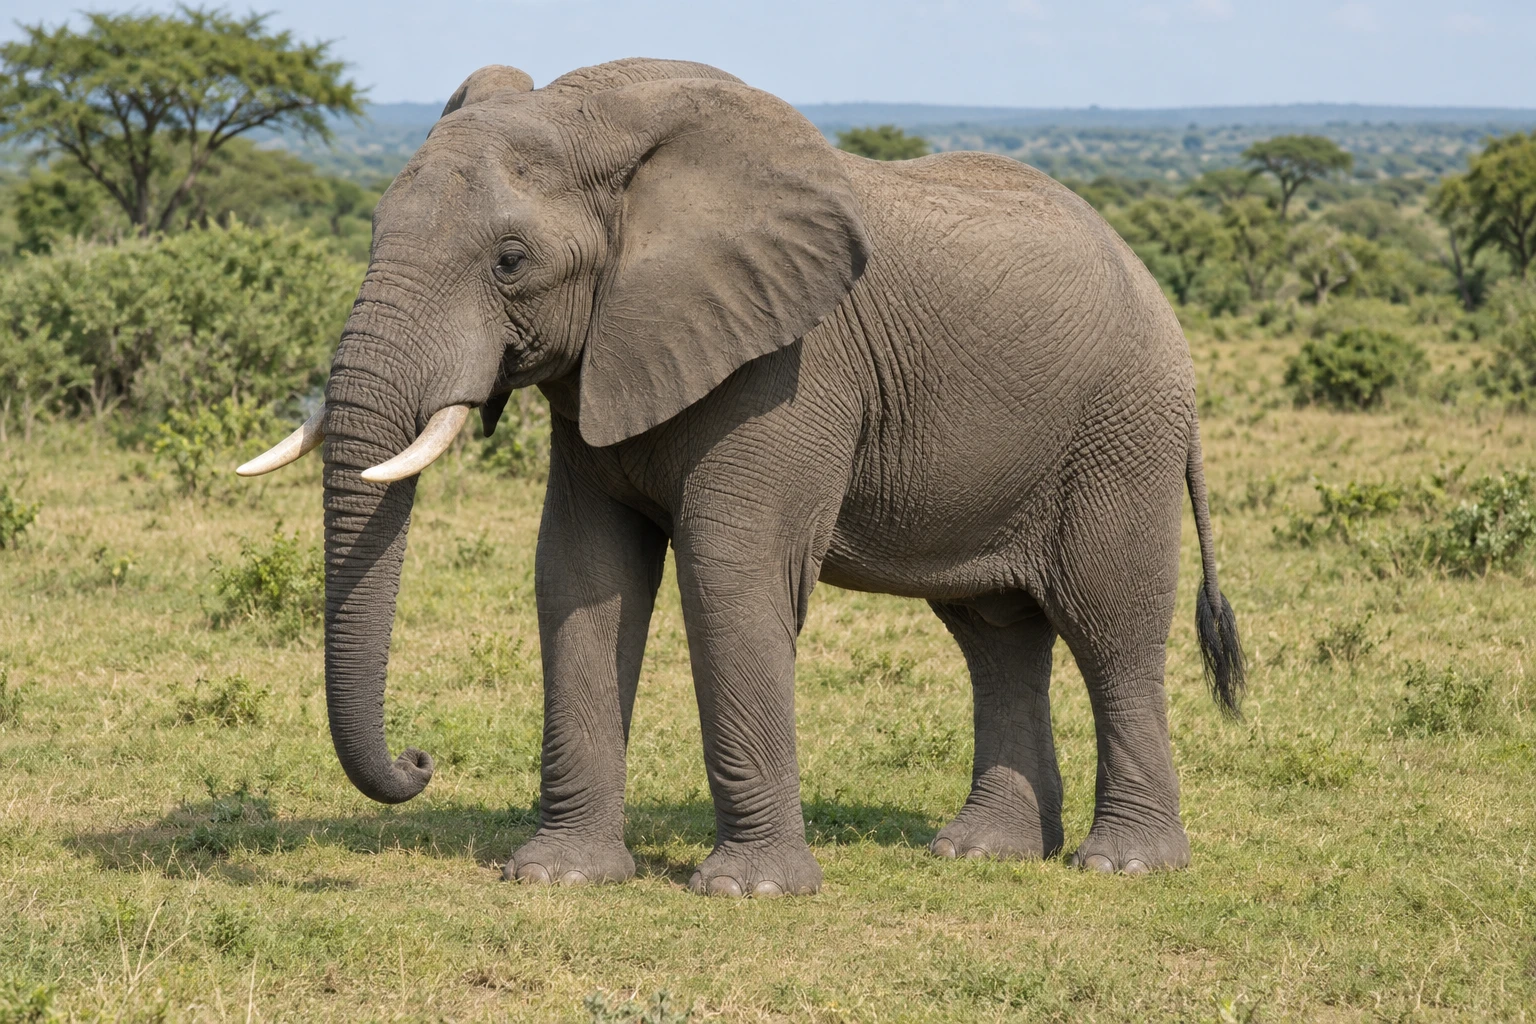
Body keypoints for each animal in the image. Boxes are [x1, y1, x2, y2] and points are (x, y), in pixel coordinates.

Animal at [240, 57, 1244, 897]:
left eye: (511, 261)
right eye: (372, 228)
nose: (420, 761)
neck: (600, 118)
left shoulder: (789, 366)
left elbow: (731, 572)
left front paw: (750, 891)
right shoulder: (606, 359)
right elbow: (580, 574)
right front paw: (560, 877)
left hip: (1122, 432)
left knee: (1110, 623)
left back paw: (1125, 864)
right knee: (995, 633)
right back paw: (981, 852)